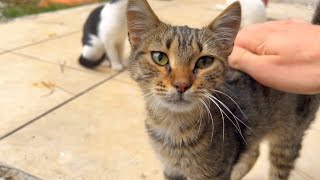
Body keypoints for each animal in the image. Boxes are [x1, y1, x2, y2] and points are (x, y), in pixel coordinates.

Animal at [126, 0, 320, 179]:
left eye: (204, 62)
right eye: (160, 57)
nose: (181, 85)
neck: (172, 126)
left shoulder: (215, 173)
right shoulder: (171, 170)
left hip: (288, 139)